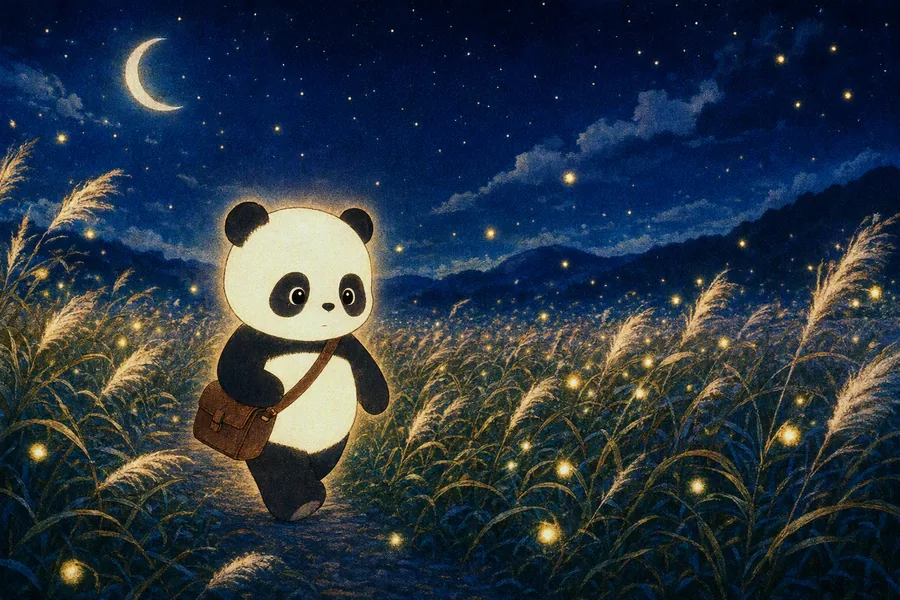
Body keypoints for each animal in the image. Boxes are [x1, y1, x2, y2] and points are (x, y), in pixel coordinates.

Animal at [217, 201, 389, 522]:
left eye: (349, 294)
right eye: (296, 294)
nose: (329, 306)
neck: (308, 341)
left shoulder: (343, 343)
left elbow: (367, 370)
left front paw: (379, 403)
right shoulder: (254, 340)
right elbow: (234, 371)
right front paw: (273, 388)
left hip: (335, 437)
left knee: (324, 460)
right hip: (270, 437)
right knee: (281, 469)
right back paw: (301, 503)